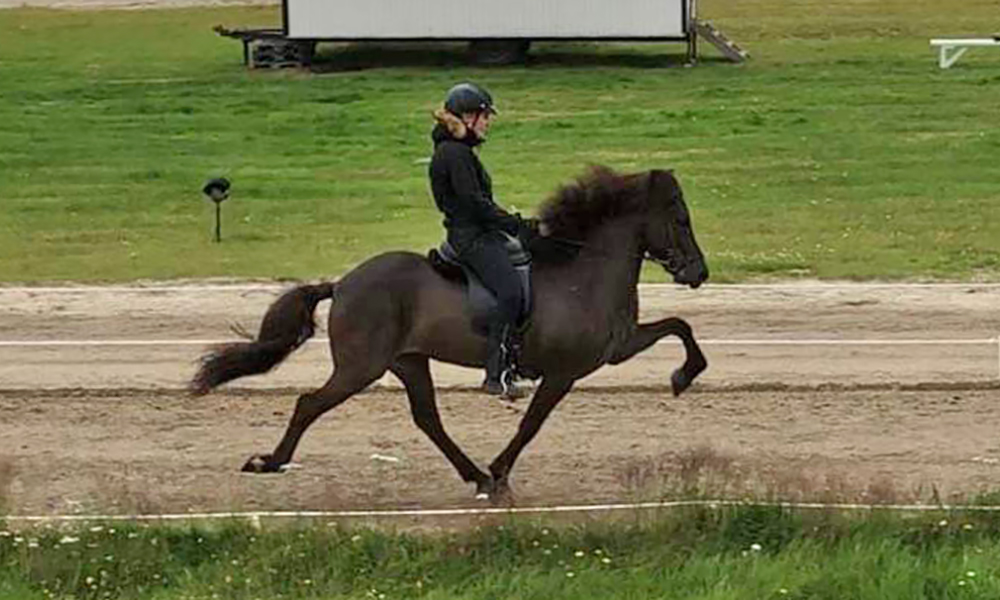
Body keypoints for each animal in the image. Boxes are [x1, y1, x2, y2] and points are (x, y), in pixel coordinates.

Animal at [193, 166, 712, 500]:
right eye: (680, 219)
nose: (699, 272)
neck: (582, 271)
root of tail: (342, 283)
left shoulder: (617, 348)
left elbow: (679, 326)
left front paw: (683, 376)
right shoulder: (563, 373)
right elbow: (531, 424)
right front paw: (501, 472)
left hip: (407, 361)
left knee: (428, 419)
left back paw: (475, 476)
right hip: (361, 366)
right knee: (309, 404)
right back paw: (270, 462)